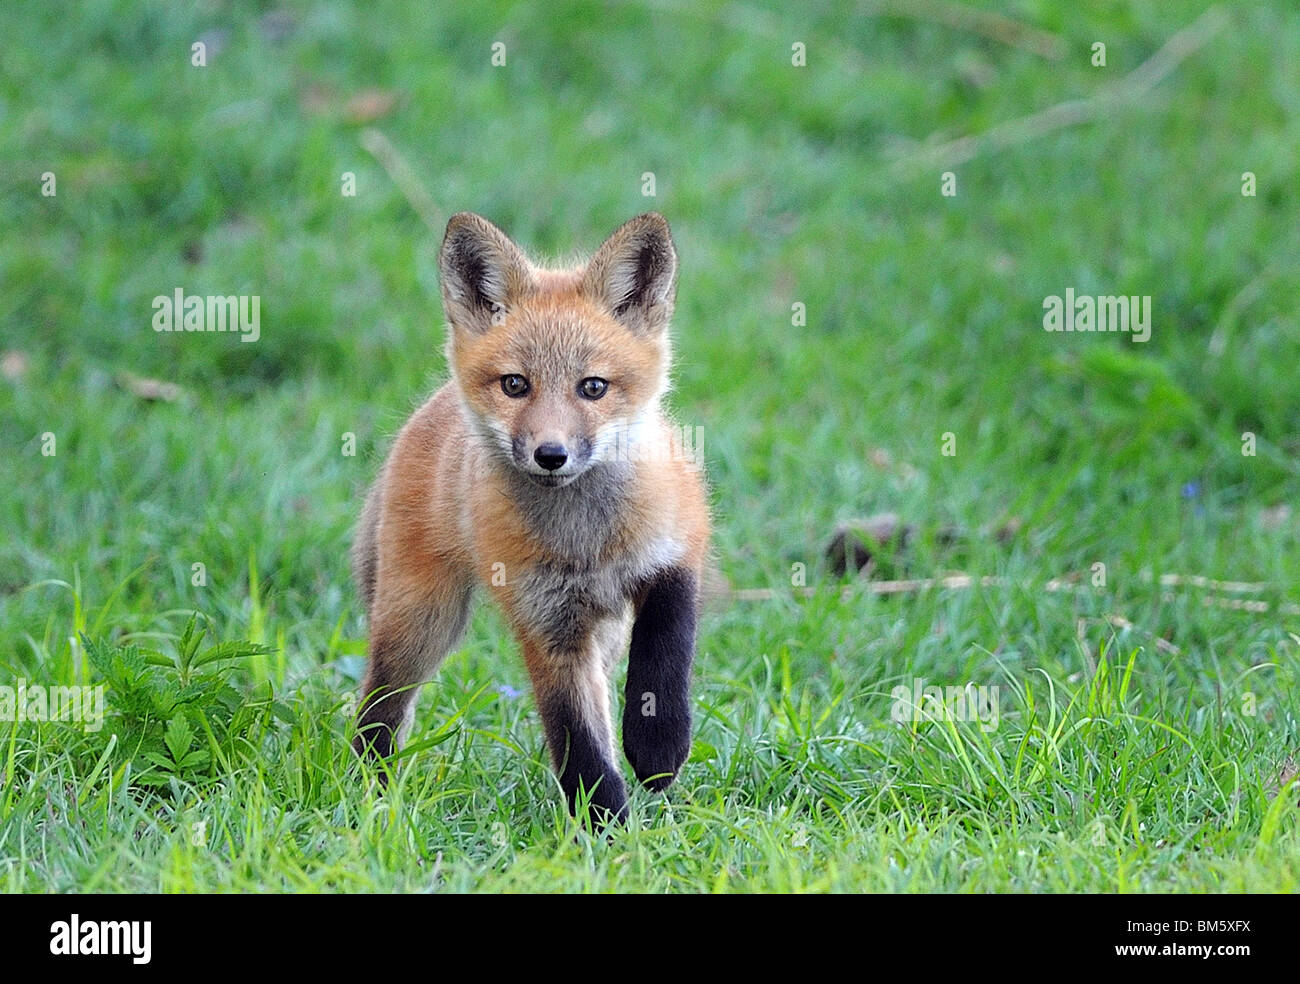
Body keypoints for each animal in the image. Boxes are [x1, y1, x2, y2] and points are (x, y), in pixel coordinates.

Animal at [351, 213, 712, 821]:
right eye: (515, 384)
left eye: (593, 387)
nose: (551, 454)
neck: (586, 540)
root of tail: (429, 409)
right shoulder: (546, 623)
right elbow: (578, 740)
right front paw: (604, 827)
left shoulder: (678, 547)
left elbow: (664, 648)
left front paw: (658, 744)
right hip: (421, 622)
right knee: (381, 707)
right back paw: (368, 797)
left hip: (601, 633)